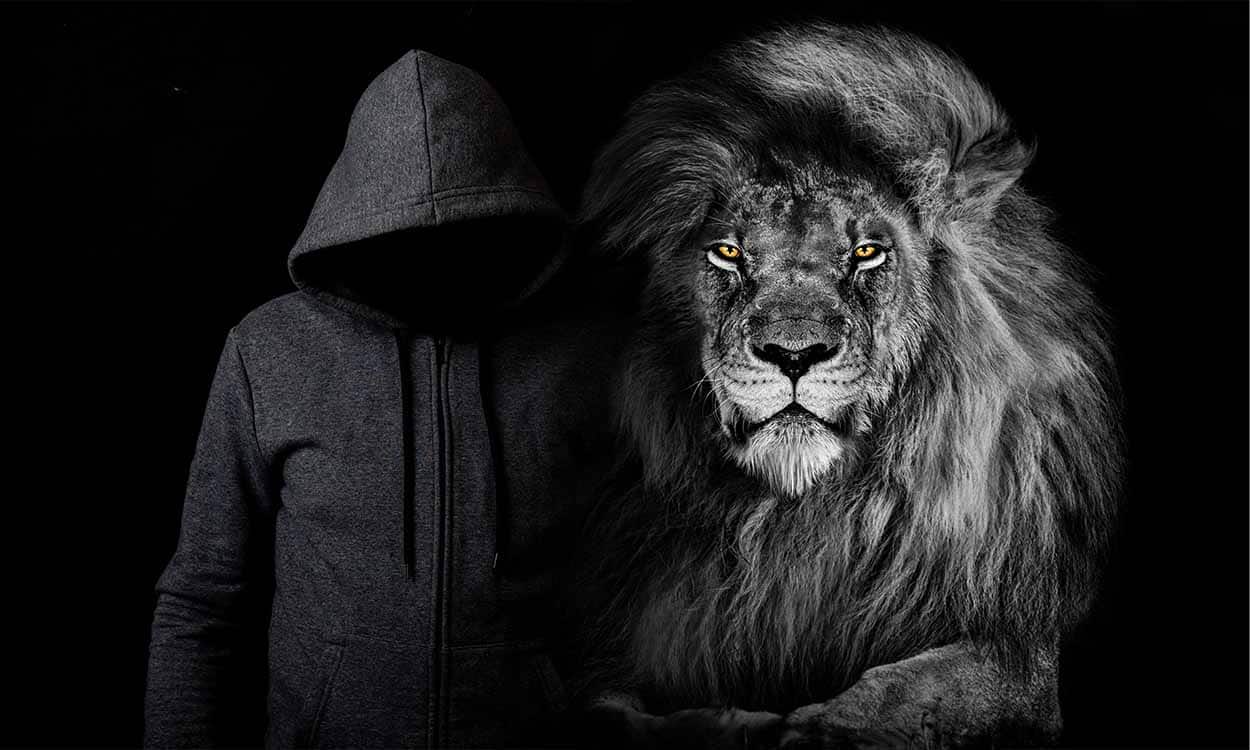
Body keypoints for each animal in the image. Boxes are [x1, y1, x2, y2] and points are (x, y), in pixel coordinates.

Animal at [569, 24, 1123, 749]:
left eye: (867, 252)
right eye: (728, 252)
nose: (793, 354)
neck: (806, 515)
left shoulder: (1018, 650)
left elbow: (905, 692)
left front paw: (817, 729)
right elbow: (613, 709)